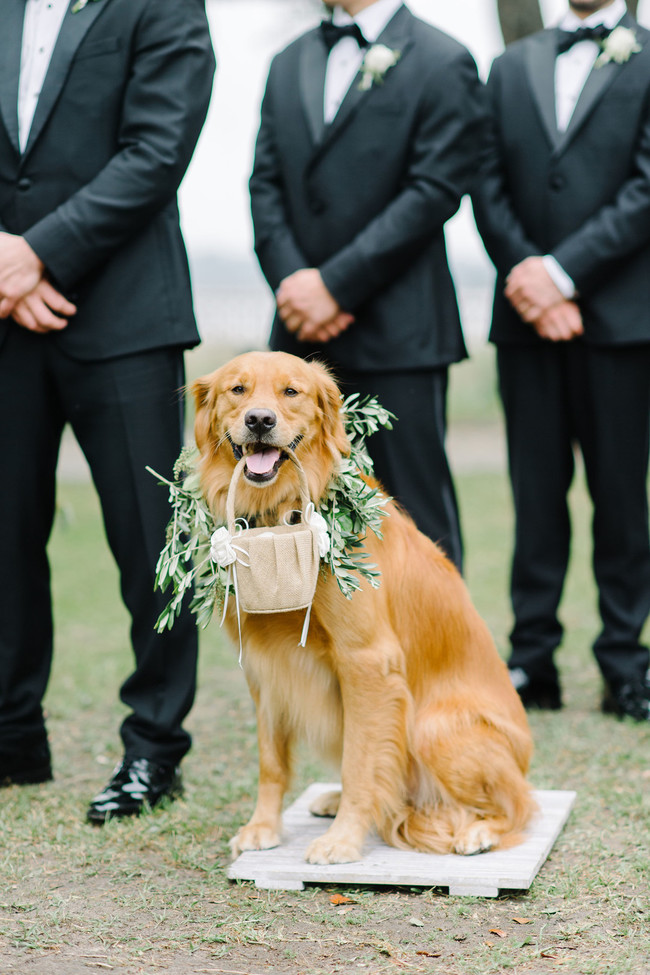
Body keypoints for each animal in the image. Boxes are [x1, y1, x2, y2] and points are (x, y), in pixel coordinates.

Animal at [191, 348, 532, 860]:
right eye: (238, 389)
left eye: (291, 391)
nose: (260, 420)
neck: (278, 516)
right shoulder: (264, 664)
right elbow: (271, 761)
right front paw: (262, 827)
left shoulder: (367, 661)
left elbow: (361, 764)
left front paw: (344, 839)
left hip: (434, 729)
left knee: (521, 804)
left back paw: (478, 831)